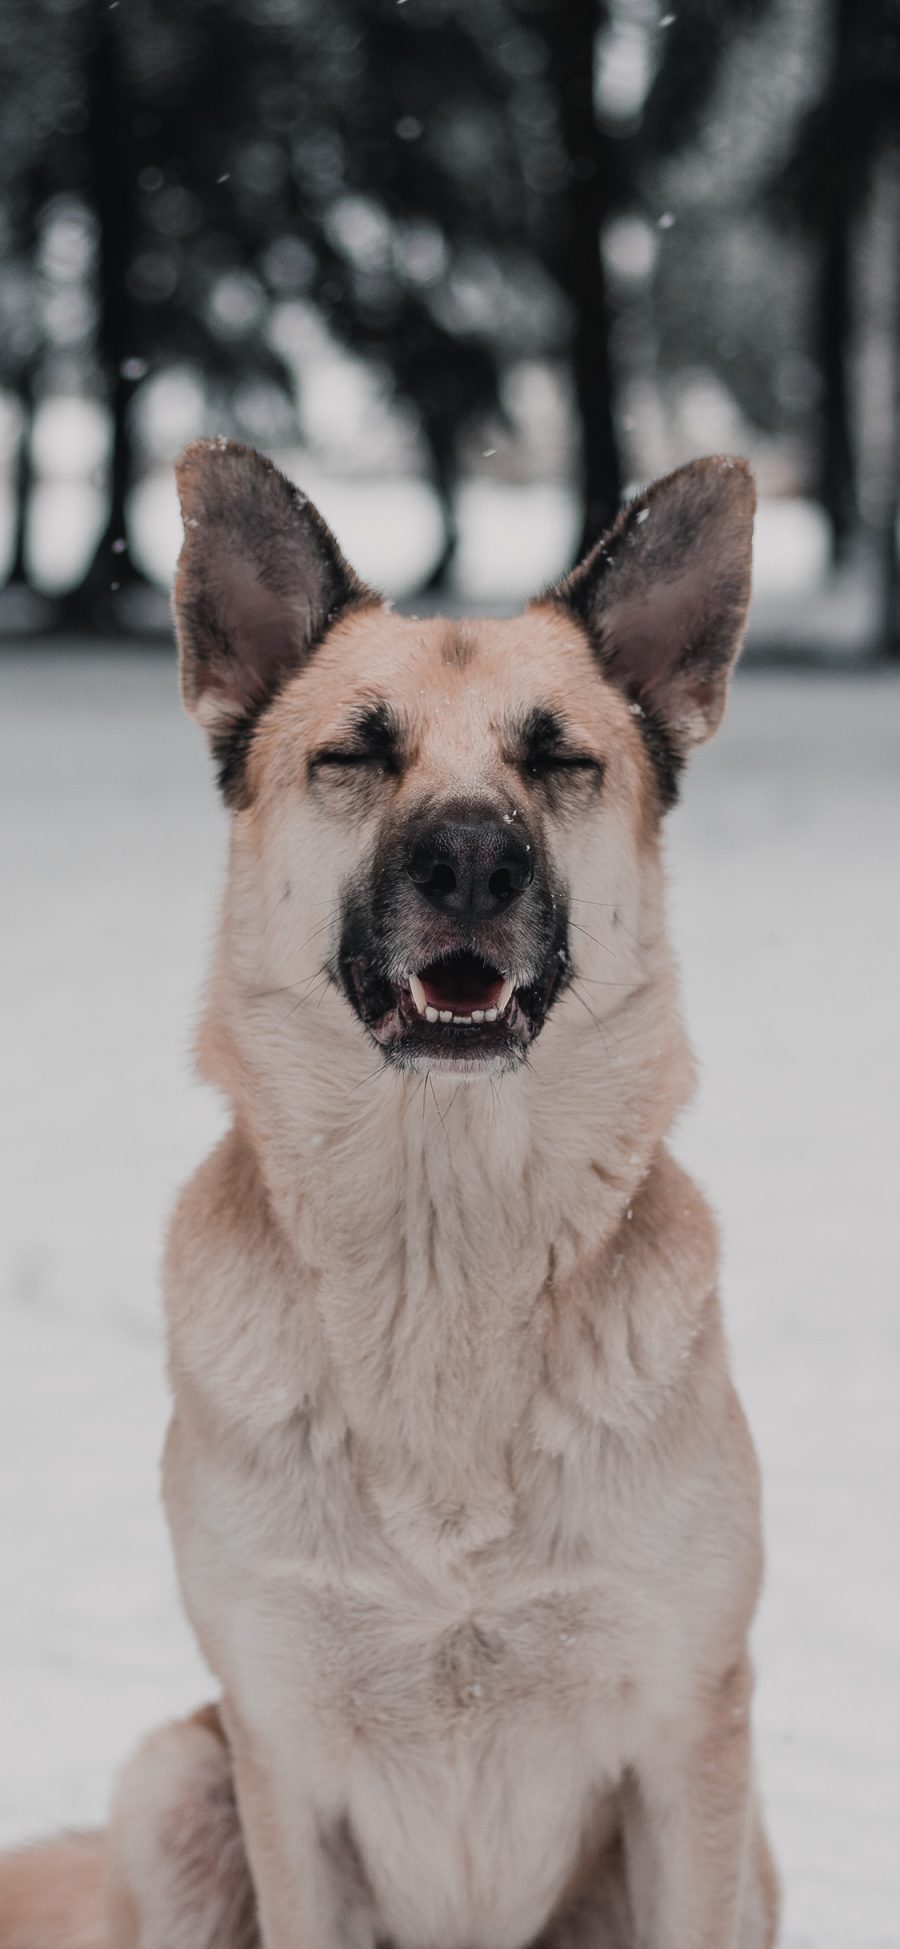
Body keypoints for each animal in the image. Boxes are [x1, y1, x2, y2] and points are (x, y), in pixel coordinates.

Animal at [0, 446, 775, 1949]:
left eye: (560, 758)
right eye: (356, 753)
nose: (471, 859)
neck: (443, 1248)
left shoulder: (687, 1750)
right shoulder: (283, 1764)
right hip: (173, 1780)